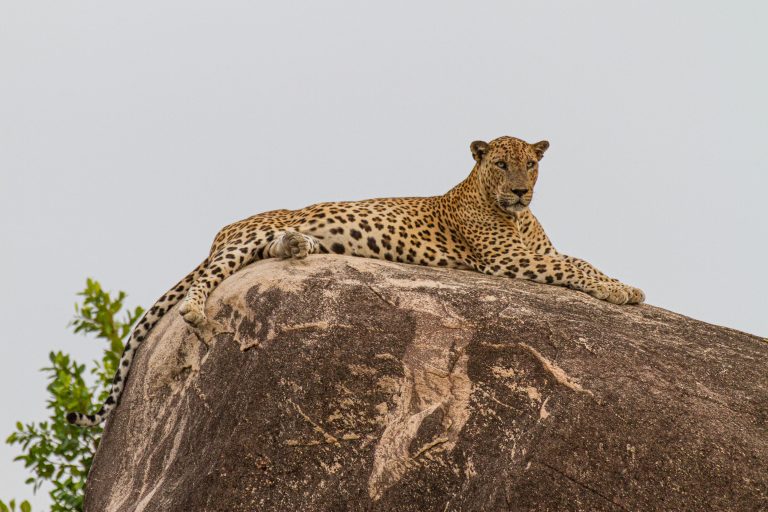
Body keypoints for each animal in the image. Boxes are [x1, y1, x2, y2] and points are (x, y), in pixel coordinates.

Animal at [67, 135, 644, 427]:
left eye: (530, 165)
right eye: (501, 164)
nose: (522, 191)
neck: (514, 217)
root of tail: (224, 229)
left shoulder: (534, 251)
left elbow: (578, 258)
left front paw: (624, 285)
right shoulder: (509, 259)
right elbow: (575, 265)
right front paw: (621, 290)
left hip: (258, 243)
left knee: (266, 252)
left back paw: (297, 246)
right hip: (236, 245)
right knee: (204, 280)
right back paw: (195, 309)